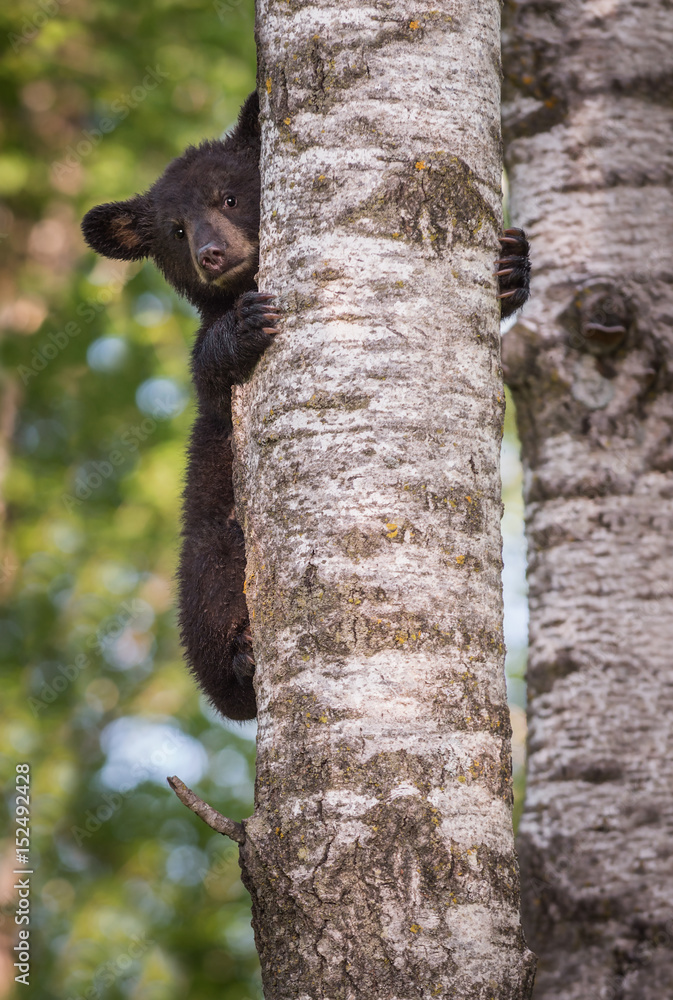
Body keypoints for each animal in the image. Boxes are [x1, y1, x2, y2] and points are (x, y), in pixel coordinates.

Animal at [81, 91, 530, 722]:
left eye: (229, 197)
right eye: (175, 229)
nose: (211, 253)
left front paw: (513, 267)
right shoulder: (213, 389)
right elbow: (208, 369)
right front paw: (243, 327)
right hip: (211, 553)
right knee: (209, 610)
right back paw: (240, 657)